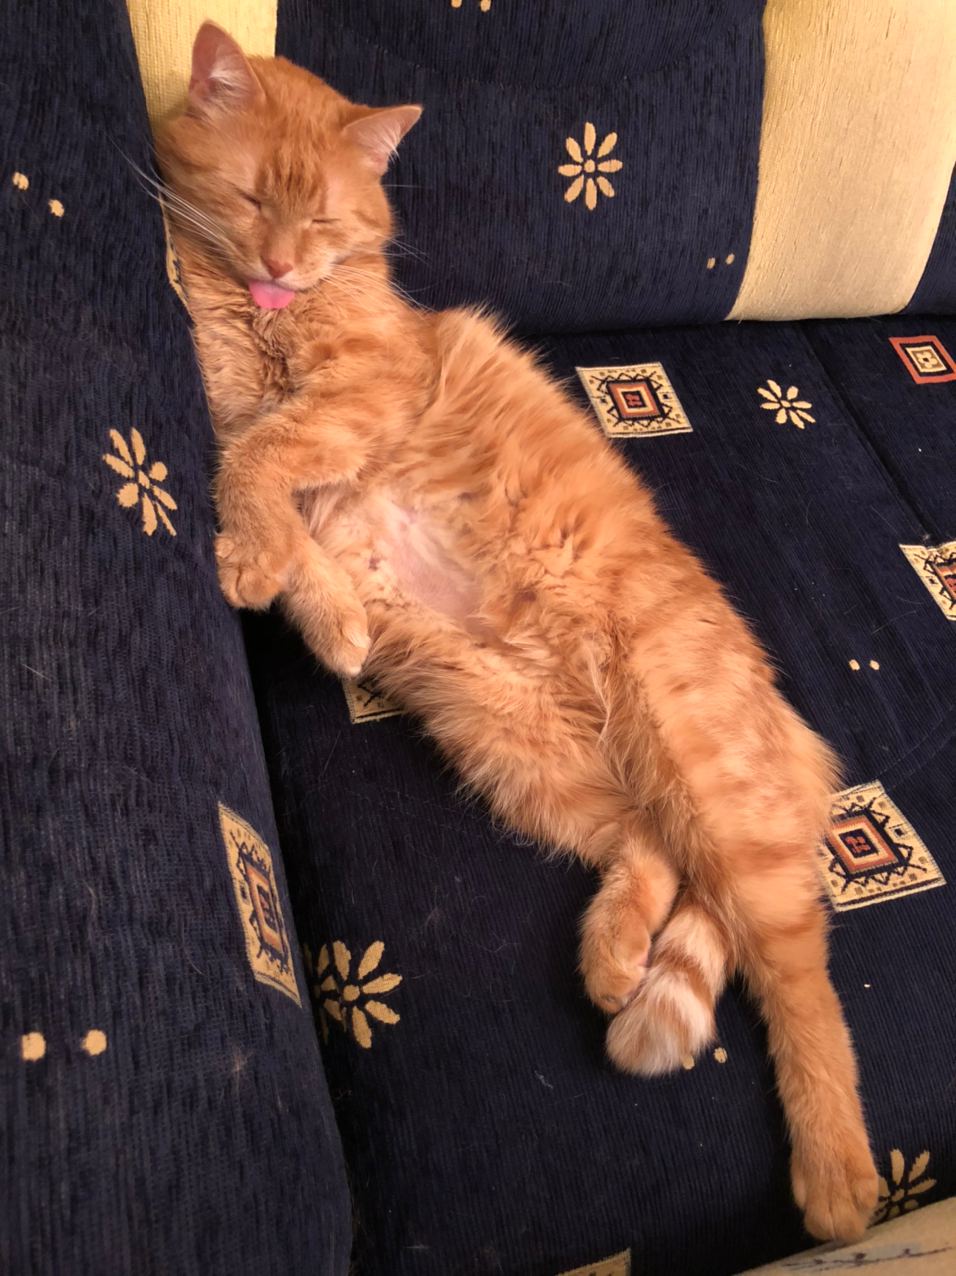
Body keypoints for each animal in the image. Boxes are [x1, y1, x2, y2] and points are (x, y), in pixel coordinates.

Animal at [156, 22, 879, 1243]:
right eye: (253, 199)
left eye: (325, 222)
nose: (283, 267)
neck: (276, 317)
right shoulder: (262, 426)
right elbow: (283, 515)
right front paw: (327, 613)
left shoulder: (359, 400)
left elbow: (267, 457)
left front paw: (262, 561)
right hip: (519, 746)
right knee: (658, 859)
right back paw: (612, 961)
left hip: (690, 757)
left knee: (795, 966)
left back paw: (836, 1177)